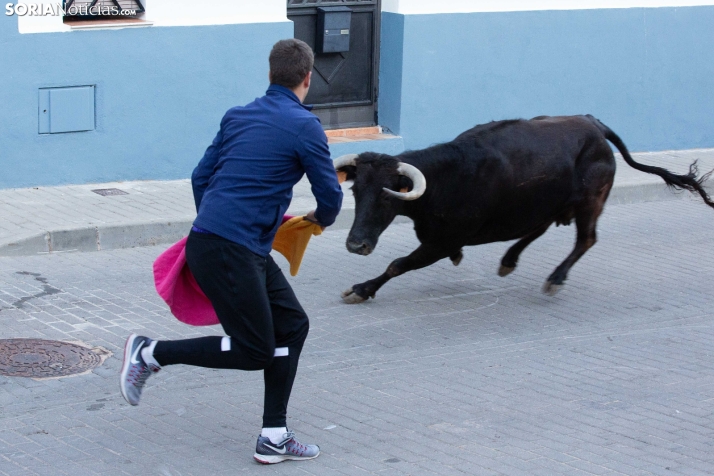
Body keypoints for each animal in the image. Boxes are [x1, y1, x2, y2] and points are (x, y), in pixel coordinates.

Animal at [334, 113, 712, 304]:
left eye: (387, 196)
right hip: (545, 203)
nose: (355, 245)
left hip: (591, 201)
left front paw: (362, 289)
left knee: (586, 239)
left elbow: (399, 264)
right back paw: (509, 260)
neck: (448, 176)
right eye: (355, 190)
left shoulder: (440, 242)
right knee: (540, 228)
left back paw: (555, 279)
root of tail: (593, 124)